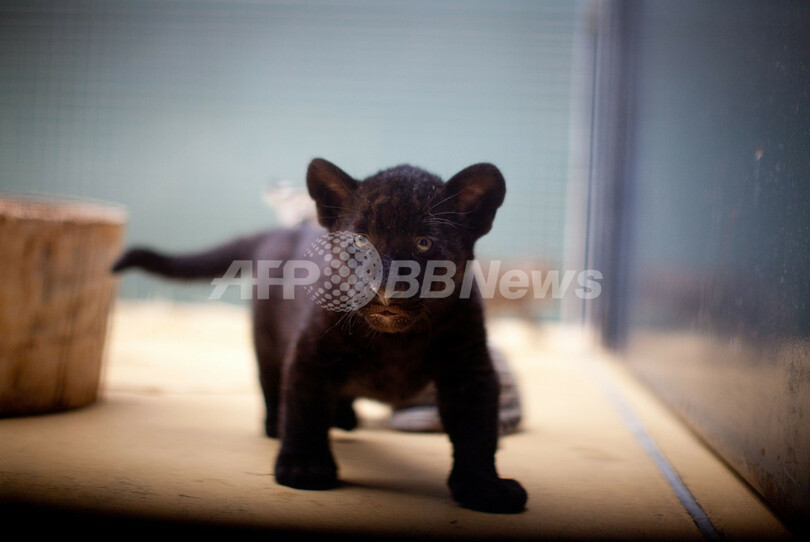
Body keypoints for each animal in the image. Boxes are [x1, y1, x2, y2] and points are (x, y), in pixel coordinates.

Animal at [112, 158, 528, 514]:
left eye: (423, 242)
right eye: (360, 241)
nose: (385, 289)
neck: (395, 342)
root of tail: (279, 231)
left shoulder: (469, 368)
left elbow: (477, 432)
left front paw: (484, 488)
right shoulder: (312, 353)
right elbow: (304, 409)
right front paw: (304, 467)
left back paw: (344, 417)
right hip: (266, 341)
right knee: (271, 384)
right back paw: (277, 426)